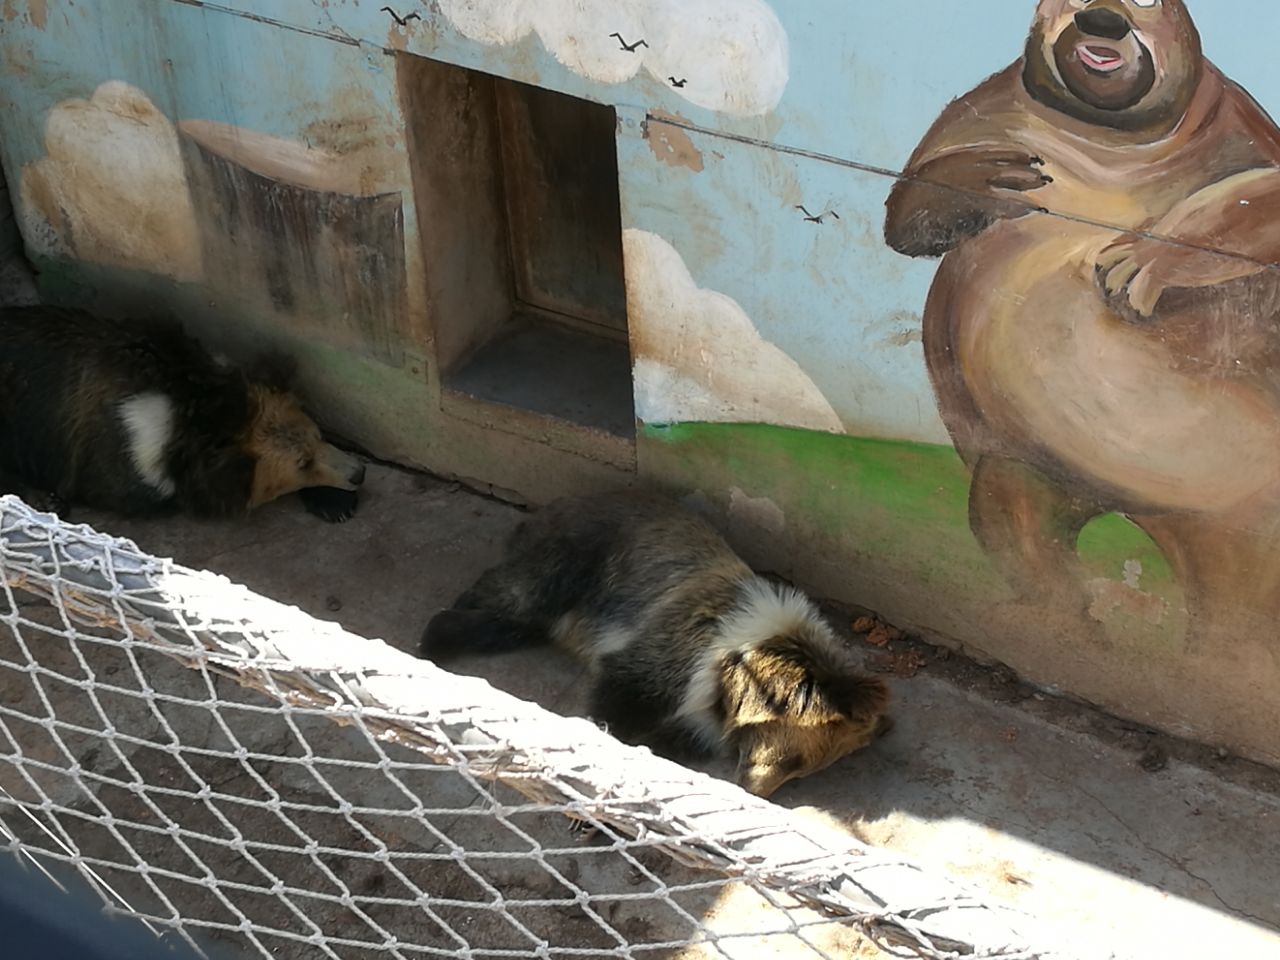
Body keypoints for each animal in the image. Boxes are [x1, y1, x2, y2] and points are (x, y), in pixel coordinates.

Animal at [0, 304, 366, 522]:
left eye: (316, 435)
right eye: (302, 463)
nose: (359, 473)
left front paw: (334, 502)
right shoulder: (120, 462)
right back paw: (45, 501)